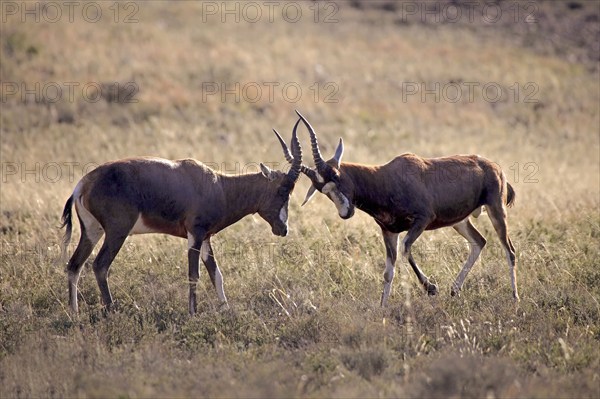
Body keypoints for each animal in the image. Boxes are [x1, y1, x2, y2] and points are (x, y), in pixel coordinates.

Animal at [59, 122, 304, 316]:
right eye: (283, 190)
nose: (283, 229)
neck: (217, 185)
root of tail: (83, 184)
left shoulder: (205, 237)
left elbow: (216, 274)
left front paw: (226, 310)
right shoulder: (195, 234)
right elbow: (194, 274)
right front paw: (192, 313)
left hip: (92, 231)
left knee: (74, 265)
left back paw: (74, 313)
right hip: (117, 232)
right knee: (100, 265)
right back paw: (111, 311)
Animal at [282, 111, 520, 304]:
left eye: (336, 175)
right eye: (322, 190)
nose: (345, 212)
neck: (386, 177)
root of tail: (494, 166)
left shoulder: (422, 220)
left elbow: (405, 248)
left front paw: (431, 288)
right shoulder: (389, 231)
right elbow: (388, 271)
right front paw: (382, 307)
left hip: (496, 210)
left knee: (509, 250)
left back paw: (515, 297)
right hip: (460, 222)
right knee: (479, 242)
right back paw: (454, 290)